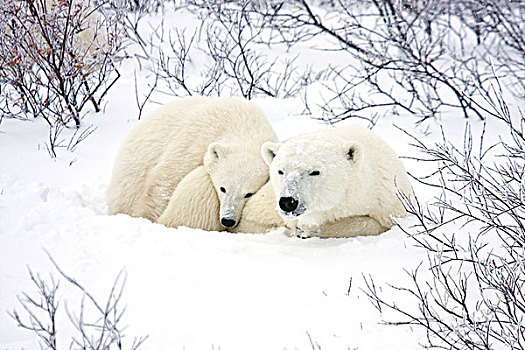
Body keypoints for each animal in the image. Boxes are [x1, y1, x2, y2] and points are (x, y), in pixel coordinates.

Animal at [107, 95, 278, 230]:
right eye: (222, 188)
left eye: (248, 194)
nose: (228, 220)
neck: (243, 125)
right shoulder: (194, 142)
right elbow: (165, 184)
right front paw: (146, 216)